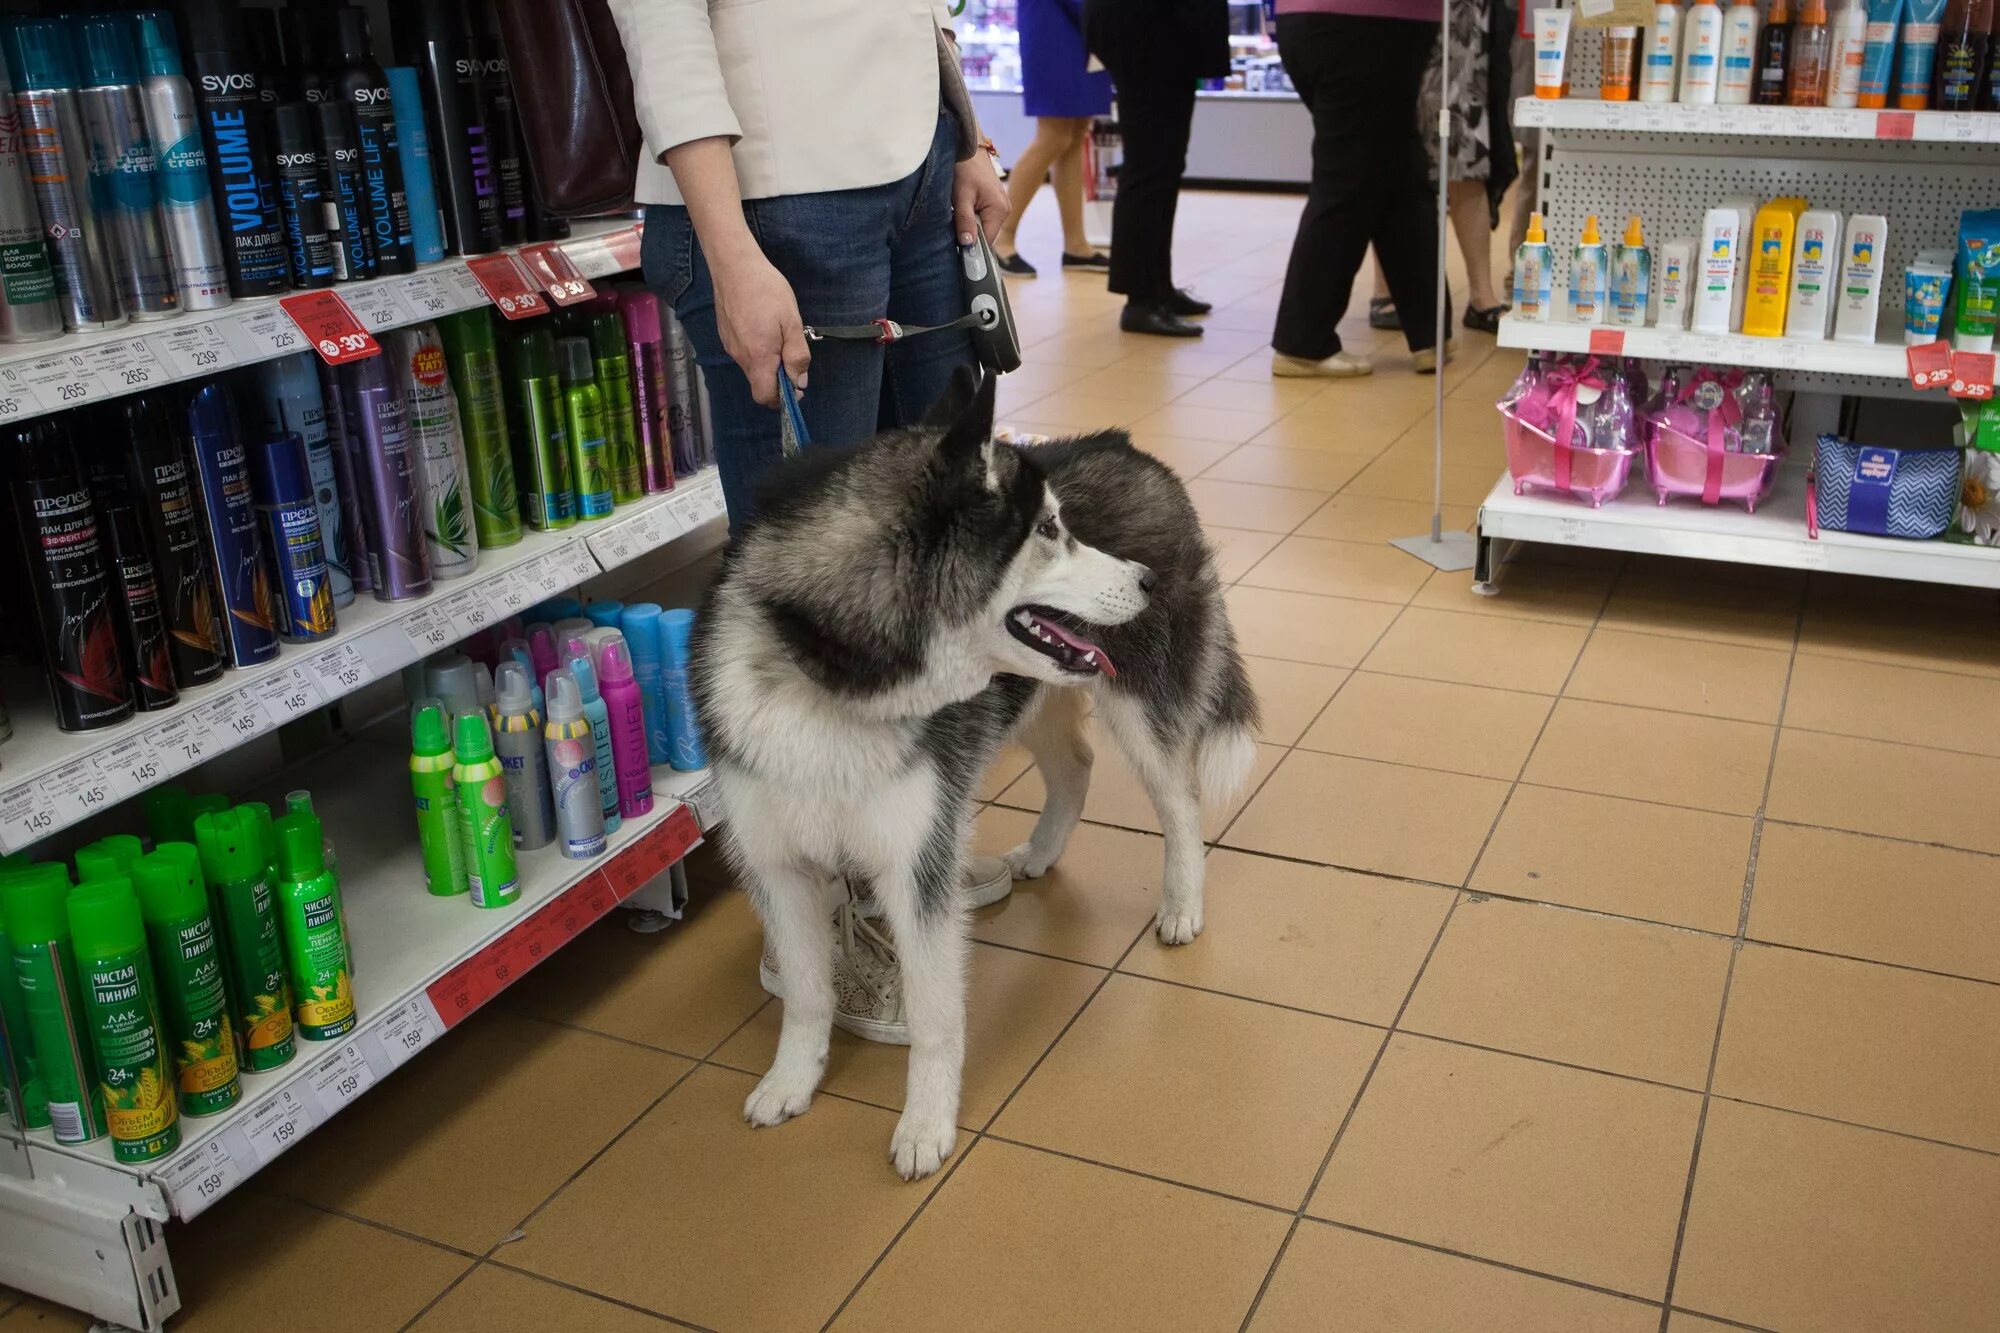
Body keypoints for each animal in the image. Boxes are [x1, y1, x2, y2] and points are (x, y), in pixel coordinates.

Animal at [688, 366, 1248, 1176]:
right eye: (1048, 530)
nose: (1146, 581)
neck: (829, 687)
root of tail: (1129, 447)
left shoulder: (916, 865)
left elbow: (934, 1017)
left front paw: (925, 1125)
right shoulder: (778, 864)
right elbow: (806, 992)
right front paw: (792, 1080)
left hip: (1141, 705)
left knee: (1180, 803)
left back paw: (1181, 903)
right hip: (1031, 695)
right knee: (1075, 764)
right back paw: (1041, 852)